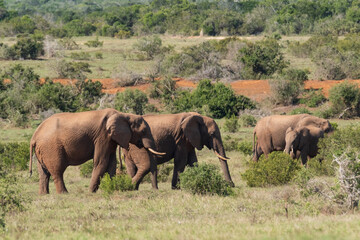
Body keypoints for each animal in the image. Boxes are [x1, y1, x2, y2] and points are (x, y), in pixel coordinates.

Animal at [28, 109, 164, 195]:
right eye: (143, 131)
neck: (124, 115)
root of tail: (34, 136)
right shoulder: (102, 136)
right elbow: (101, 162)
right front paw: (91, 192)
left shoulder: (110, 139)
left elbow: (111, 164)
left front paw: (113, 187)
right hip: (51, 148)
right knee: (57, 171)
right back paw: (64, 194)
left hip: (42, 150)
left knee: (43, 173)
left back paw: (44, 195)